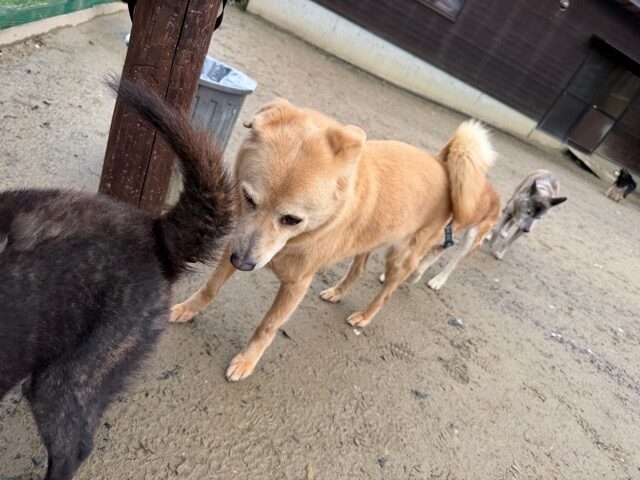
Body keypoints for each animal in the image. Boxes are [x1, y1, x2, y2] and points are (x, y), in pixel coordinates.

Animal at [170, 98, 495, 381]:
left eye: (291, 219)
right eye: (247, 198)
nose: (242, 263)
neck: (297, 240)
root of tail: (441, 164)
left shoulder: (296, 284)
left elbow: (267, 326)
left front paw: (246, 361)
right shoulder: (237, 242)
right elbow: (210, 288)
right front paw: (187, 309)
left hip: (400, 258)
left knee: (387, 291)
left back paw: (364, 316)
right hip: (367, 240)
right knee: (358, 268)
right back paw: (337, 292)